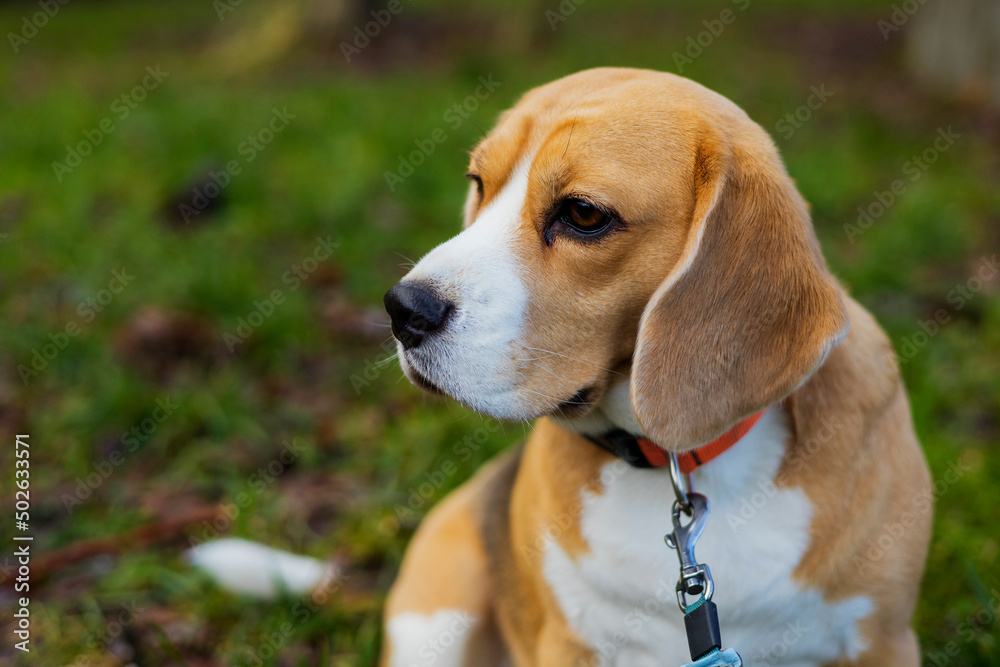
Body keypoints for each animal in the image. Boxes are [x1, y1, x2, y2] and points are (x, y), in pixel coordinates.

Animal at [378, 69, 932, 667]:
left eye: (584, 214)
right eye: (479, 182)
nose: (402, 309)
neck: (684, 460)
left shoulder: (885, 641)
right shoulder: (569, 645)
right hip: (434, 627)